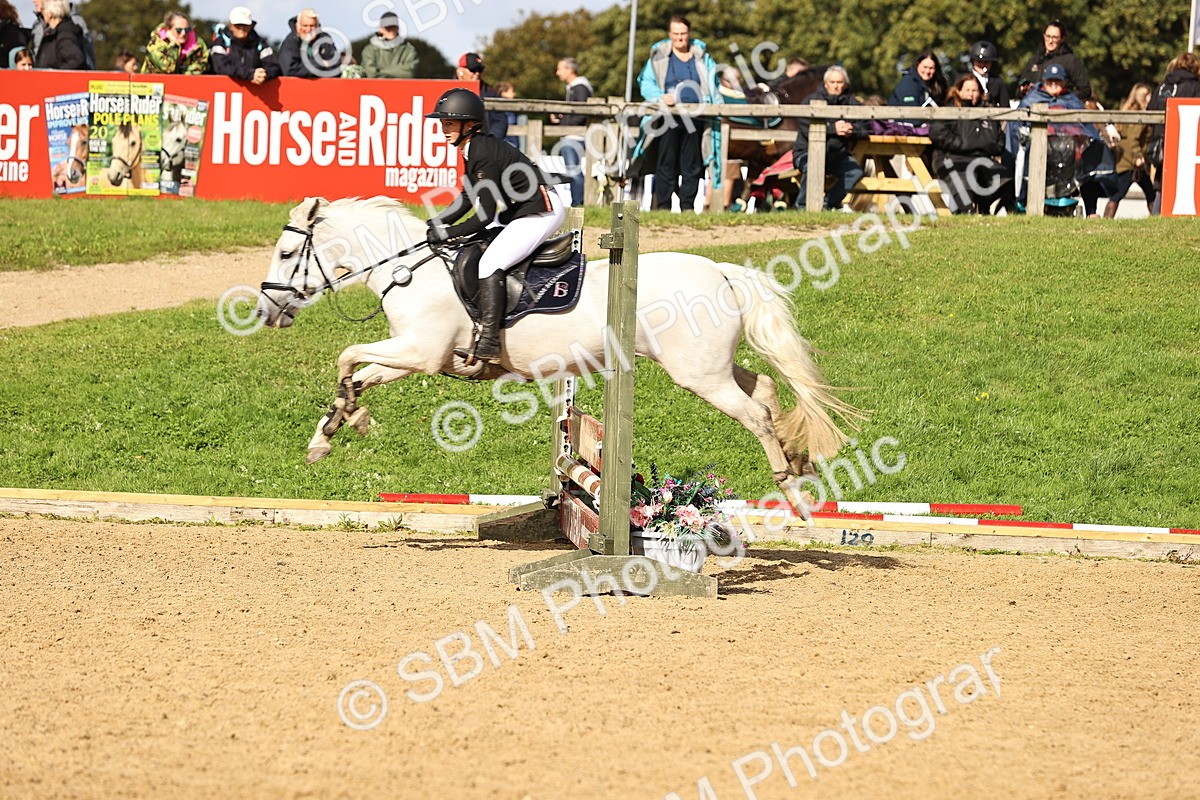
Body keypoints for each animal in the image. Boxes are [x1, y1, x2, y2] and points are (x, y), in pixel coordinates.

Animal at [255, 196, 860, 514]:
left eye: (286, 252)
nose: (266, 311)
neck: (407, 269)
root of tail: (720, 270)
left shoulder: (421, 352)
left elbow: (346, 355)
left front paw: (342, 422)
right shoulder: (417, 356)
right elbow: (358, 372)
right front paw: (336, 429)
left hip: (699, 376)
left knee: (754, 413)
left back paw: (791, 487)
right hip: (709, 366)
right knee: (767, 388)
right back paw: (802, 464)